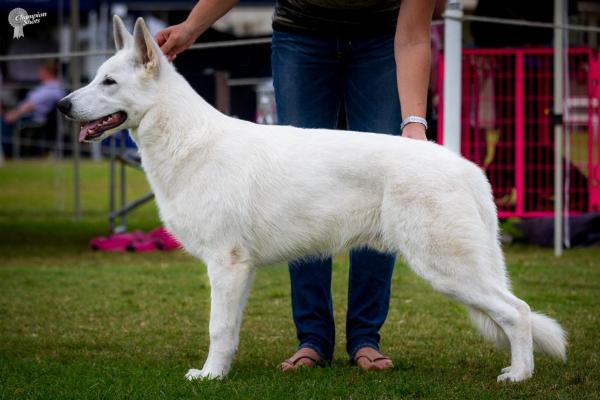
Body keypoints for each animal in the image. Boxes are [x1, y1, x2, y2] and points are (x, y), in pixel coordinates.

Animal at [59, 16, 568, 384]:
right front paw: (221, 372)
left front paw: (208, 378)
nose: (63, 106)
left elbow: (217, 328)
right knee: (512, 311)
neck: (186, 139)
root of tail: (468, 169)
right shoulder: (237, 273)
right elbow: (230, 330)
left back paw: (519, 376)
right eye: (94, 78)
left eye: (108, 82)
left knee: (519, 312)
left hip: (446, 269)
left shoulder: (225, 265)